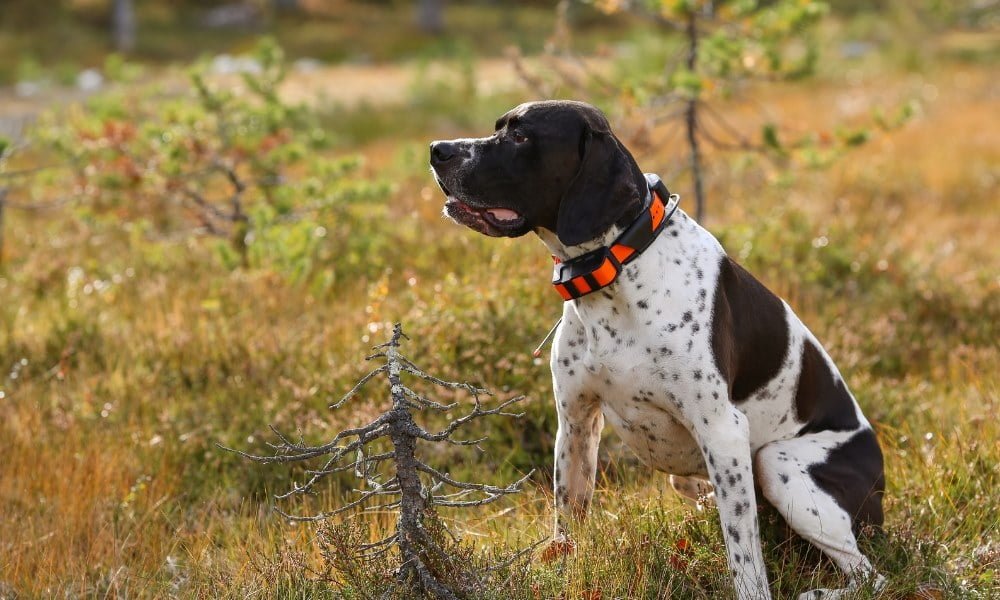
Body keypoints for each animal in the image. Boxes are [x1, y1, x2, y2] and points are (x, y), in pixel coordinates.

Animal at [430, 102, 884, 600]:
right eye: (499, 127)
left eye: (521, 137)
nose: (437, 150)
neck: (616, 270)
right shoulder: (576, 423)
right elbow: (567, 524)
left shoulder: (723, 433)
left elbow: (744, 557)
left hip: (777, 464)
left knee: (868, 574)